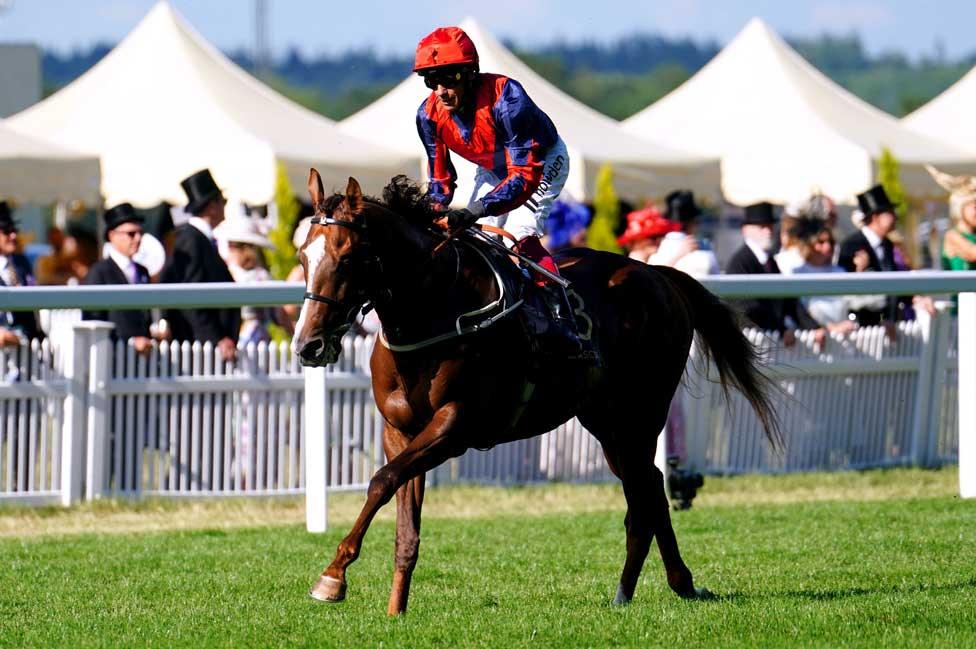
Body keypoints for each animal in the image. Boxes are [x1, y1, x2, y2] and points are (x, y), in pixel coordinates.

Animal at [290, 170, 776, 616]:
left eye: (347, 257)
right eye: (302, 255)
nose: (308, 345)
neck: (433, 313)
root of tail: (656, 273)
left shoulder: (455, 425)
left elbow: (380, 481)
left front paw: (332, 577)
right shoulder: (400, 431)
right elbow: (401, 513)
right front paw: (395, 608)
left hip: (642, 410)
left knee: (647, 491)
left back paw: (650, 585)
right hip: (606, 422)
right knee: (649, 486)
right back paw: (651, 587)